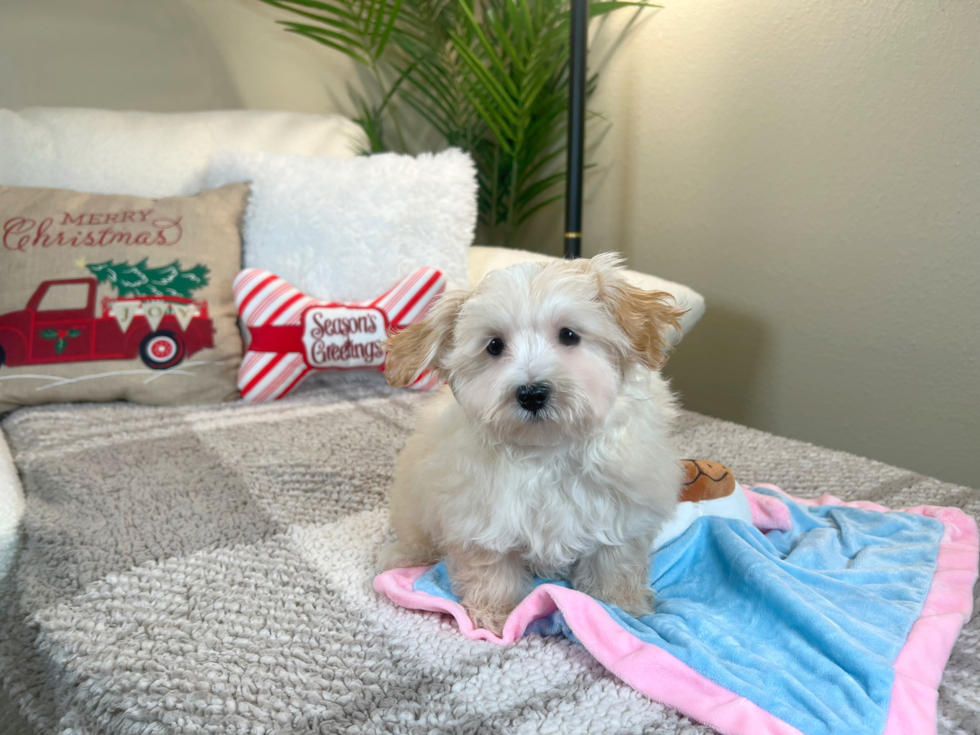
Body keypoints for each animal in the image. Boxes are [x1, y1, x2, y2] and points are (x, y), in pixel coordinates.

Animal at [378, 252, 684, 632]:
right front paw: (495, 614)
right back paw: (405, 555)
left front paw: (620, 606)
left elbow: (615, 562)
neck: (548, 450)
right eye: (494, 346)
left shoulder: (624, 512)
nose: (532, 393)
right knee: (417, 535)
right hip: (414, 501)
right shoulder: (480, 517)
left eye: (569, 335)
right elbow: (491, 569)